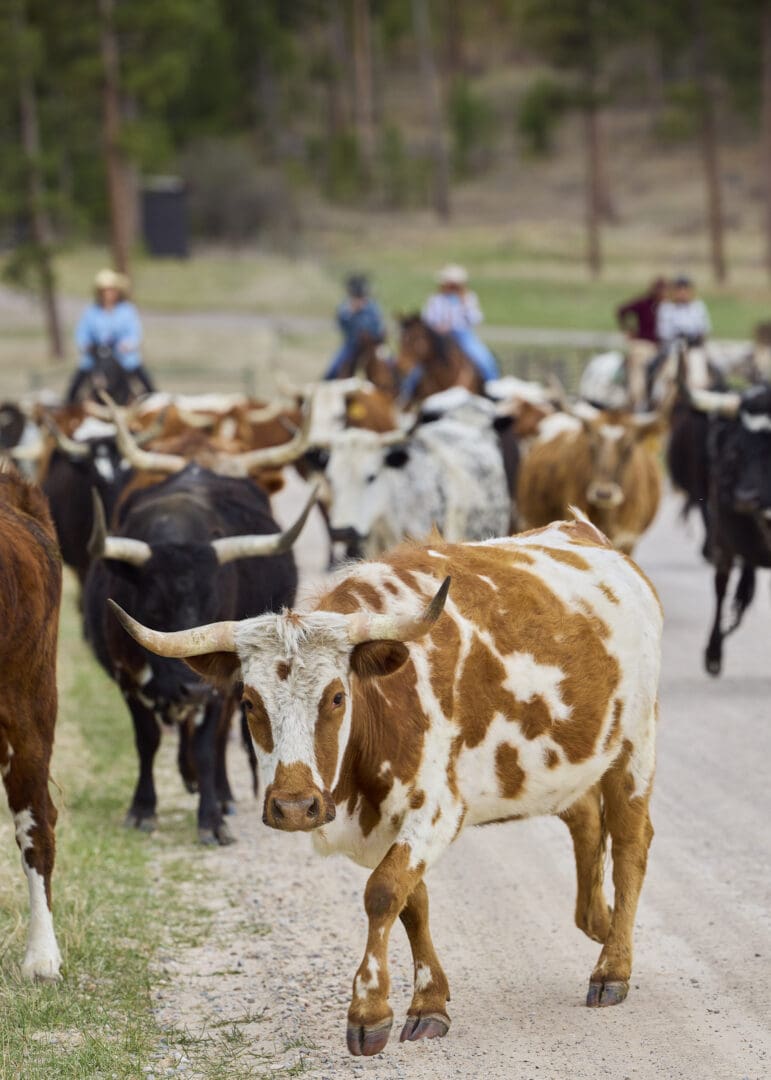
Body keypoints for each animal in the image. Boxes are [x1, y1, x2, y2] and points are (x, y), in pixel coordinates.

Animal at [83, 467, 316, 844]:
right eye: (154, 610)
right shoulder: (127, 679)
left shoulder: (219, 685)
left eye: (214, 608)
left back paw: (221, 795)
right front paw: (142, 809)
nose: (194, 690)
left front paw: (211, 819)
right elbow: (147, 740)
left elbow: (208, 747)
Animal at [110, 511, 663, 1056]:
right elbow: (412, 902)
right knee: (585, 817)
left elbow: (383, 892)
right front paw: (431, 1000)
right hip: (567, 765)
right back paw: (598, 921)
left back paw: (613, 966)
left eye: (336, 697)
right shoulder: (384, 825)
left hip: (636, 748)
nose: (294, 807)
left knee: (631, 844)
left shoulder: (436, 810)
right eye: (248, 701)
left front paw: (369, 1010)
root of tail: (586, 533)